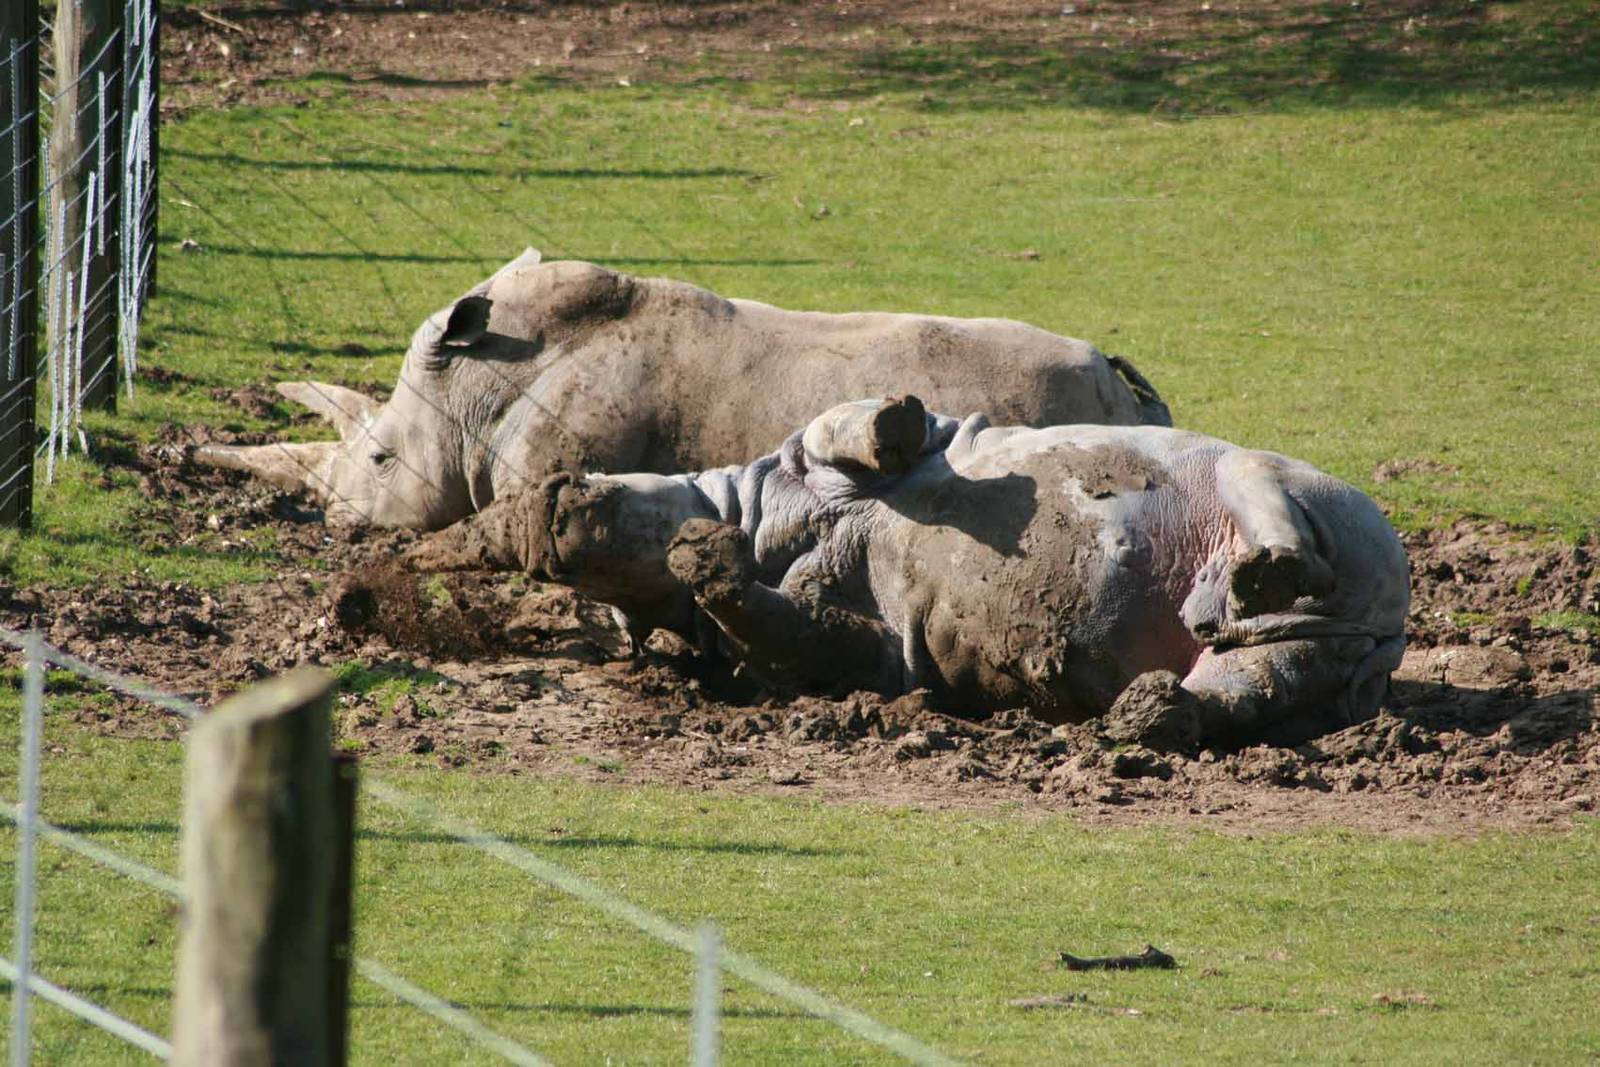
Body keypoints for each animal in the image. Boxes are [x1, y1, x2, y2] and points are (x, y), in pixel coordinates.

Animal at [436, 397, 1409, 750]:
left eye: (597, 478)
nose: (552, 500)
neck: (764, 518)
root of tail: (1389, 626)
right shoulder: (859, 652)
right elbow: (802, 633)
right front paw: (706, 562)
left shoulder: (813, 447)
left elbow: (866, 425)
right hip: (1313, 647)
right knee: (1252, 674)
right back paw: (1150, 713)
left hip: (1320, 499)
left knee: (1268, 497)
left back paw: (1255, 577)